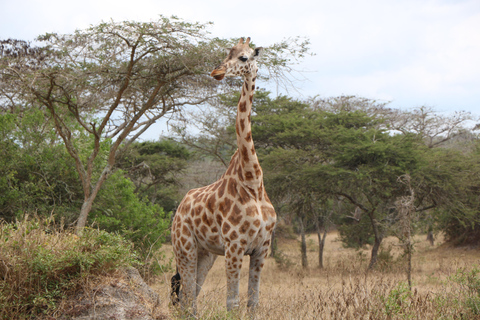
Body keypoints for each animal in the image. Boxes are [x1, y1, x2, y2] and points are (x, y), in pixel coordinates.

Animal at [172, 37, 278, 312]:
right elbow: (232, 303)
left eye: (244, 57)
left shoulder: (262, 249)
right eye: (226, 54)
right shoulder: (234, 246)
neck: (253, 181)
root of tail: (180, 207)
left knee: (190, 297)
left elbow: (252, 303)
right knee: (186, 298)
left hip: (206, 253)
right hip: (184, 247)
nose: (216, 72)